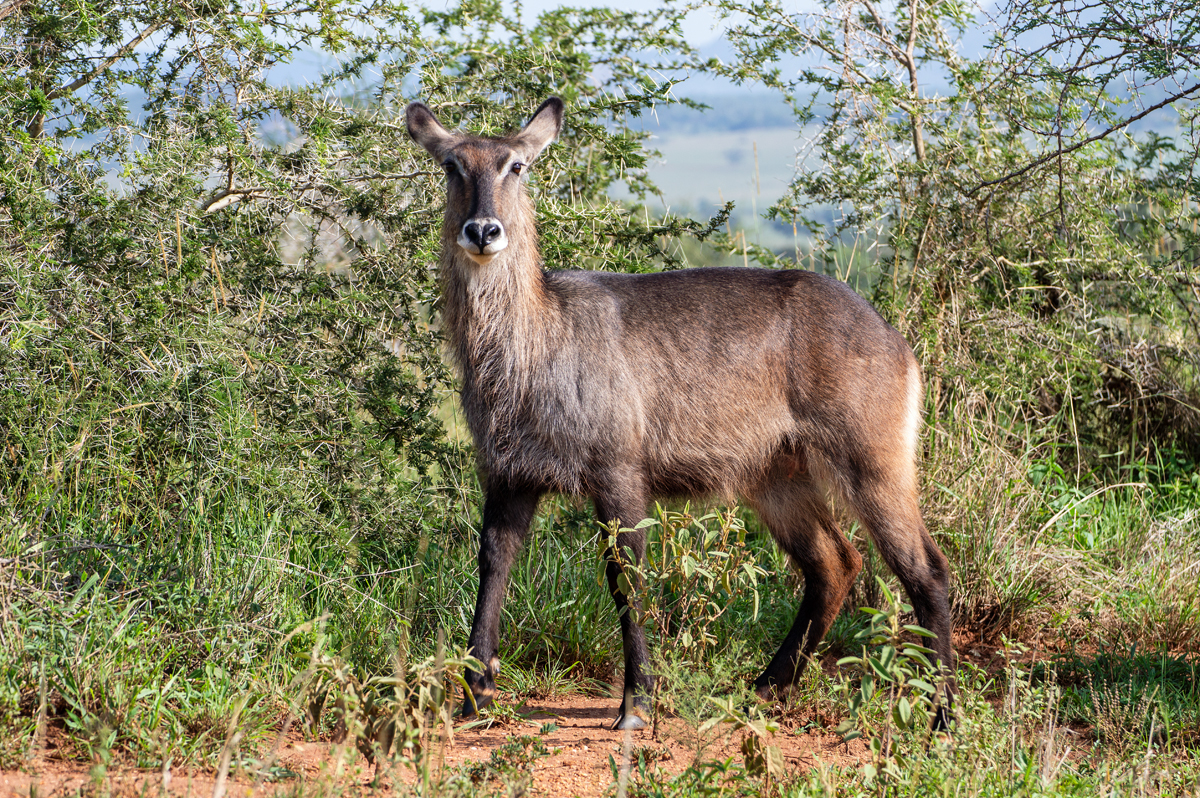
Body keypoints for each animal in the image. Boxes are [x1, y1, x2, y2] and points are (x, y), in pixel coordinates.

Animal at [405, 97, 953, 730]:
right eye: (452, 166)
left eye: (515, 165)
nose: (483, 231)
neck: (535, 342)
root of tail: (894, 338)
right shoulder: (508, 474)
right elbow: (492, 568)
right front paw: (474, 695)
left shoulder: (618, 471)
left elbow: (625, 577)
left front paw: (637, 702)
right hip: (777, 477)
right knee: (834, 565)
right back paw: (763, 689)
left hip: (873, 462)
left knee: (927, 570)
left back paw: (943, 717)